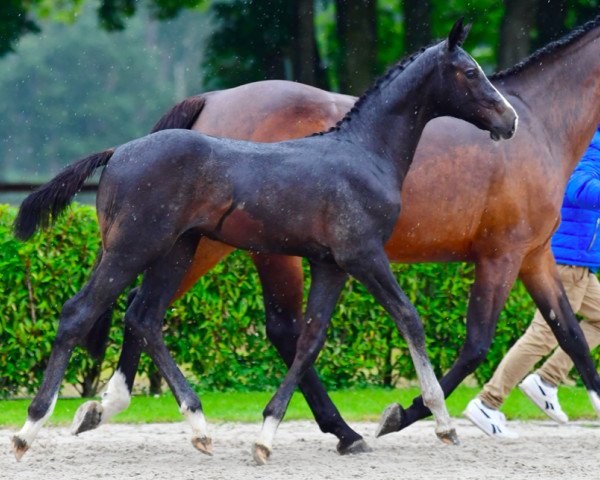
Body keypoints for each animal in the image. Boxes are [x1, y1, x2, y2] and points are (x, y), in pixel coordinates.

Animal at [12, 20, 516, 464]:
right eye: (470, 72)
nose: (509, 120)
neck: (364, 154)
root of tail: (118, 151)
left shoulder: (331, 264)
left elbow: (310, 339)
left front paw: (269, 435)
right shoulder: (364, 255)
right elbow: (409, 318)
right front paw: (440, 423)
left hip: (177, 250)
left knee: (144, 315)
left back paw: (197, 426)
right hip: (133, 248)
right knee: (80, 313)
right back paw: (28, 429)